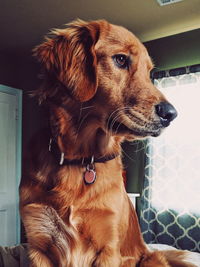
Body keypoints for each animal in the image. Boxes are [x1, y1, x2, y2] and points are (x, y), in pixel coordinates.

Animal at [19, 19, 196, 267]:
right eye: (121, 59)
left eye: (149, 72)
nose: (171, 114)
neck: (81, 159)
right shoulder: (38, 244)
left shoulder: (108, 248)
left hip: (151, 259)